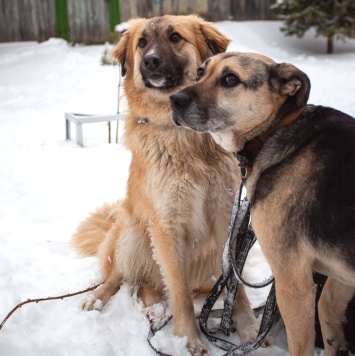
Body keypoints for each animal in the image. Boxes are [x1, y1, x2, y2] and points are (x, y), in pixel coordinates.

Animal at [72, 17, 262, 356]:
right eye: (142, 43)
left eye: (175, 37)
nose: (150, 61)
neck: (185, 136)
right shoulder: (166, 225)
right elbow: (180, 291)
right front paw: (189, 340)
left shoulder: (225, 217)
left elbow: (233, 284)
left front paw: (248, 328)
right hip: (132, 232)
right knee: (121, 277)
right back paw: (99, 298)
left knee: (154, 285)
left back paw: (157, 311)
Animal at [170, 51, 355, 354]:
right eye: (199, 72)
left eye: (230, 79)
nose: (173, 100)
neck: (276, 129)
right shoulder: (340, 277)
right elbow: (328, 311)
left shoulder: (293, 283)